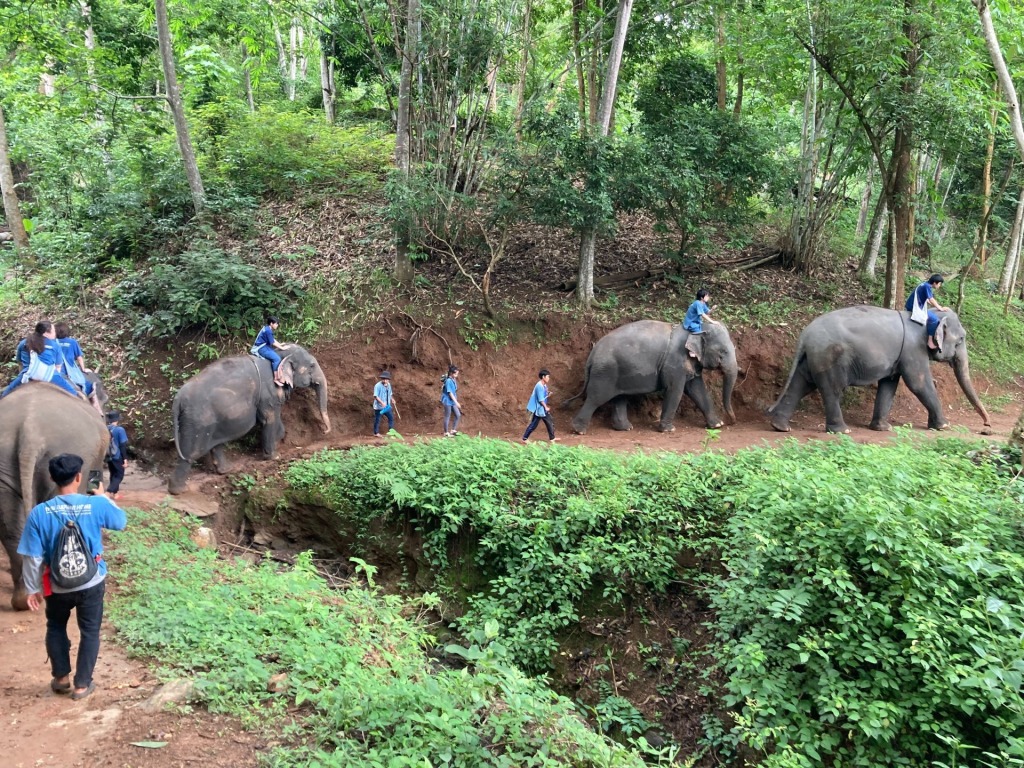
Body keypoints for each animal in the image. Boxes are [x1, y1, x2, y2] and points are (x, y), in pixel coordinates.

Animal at [167, 344, 327, 493]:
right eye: (312, 365)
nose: (325, 432)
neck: (278, 355)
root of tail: (177, 399)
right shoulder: (268, 393)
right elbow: (269, 419)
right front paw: (273, 456)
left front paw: (277, 441)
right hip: (198, 421)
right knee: (190, 453)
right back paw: (178, 491)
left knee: (215, 444)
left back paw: (227, 470)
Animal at [565, 319, 741, 436]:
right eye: (723, 352)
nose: (732, 421)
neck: (696, 329)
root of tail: (592, 353)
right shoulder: (674, 362)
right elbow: (675, 390)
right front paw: (669, 430)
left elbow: (697, 389)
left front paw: (717, 425)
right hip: (606, 371)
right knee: (596, 398)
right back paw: (579, 430)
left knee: (620, 397)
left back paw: (625, 428)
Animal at [770, 309, 991, 438]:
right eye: (961, 339)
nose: (986, 426)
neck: (927, 316)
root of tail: (805, 335)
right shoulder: (913, 349)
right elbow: (918, 382)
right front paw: (944, 426)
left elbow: (889, 384)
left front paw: (883, 428)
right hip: (830, 357)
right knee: (832, 390)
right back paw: (842, 430)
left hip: (813, 358)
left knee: (801, 384)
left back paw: (780, 427)